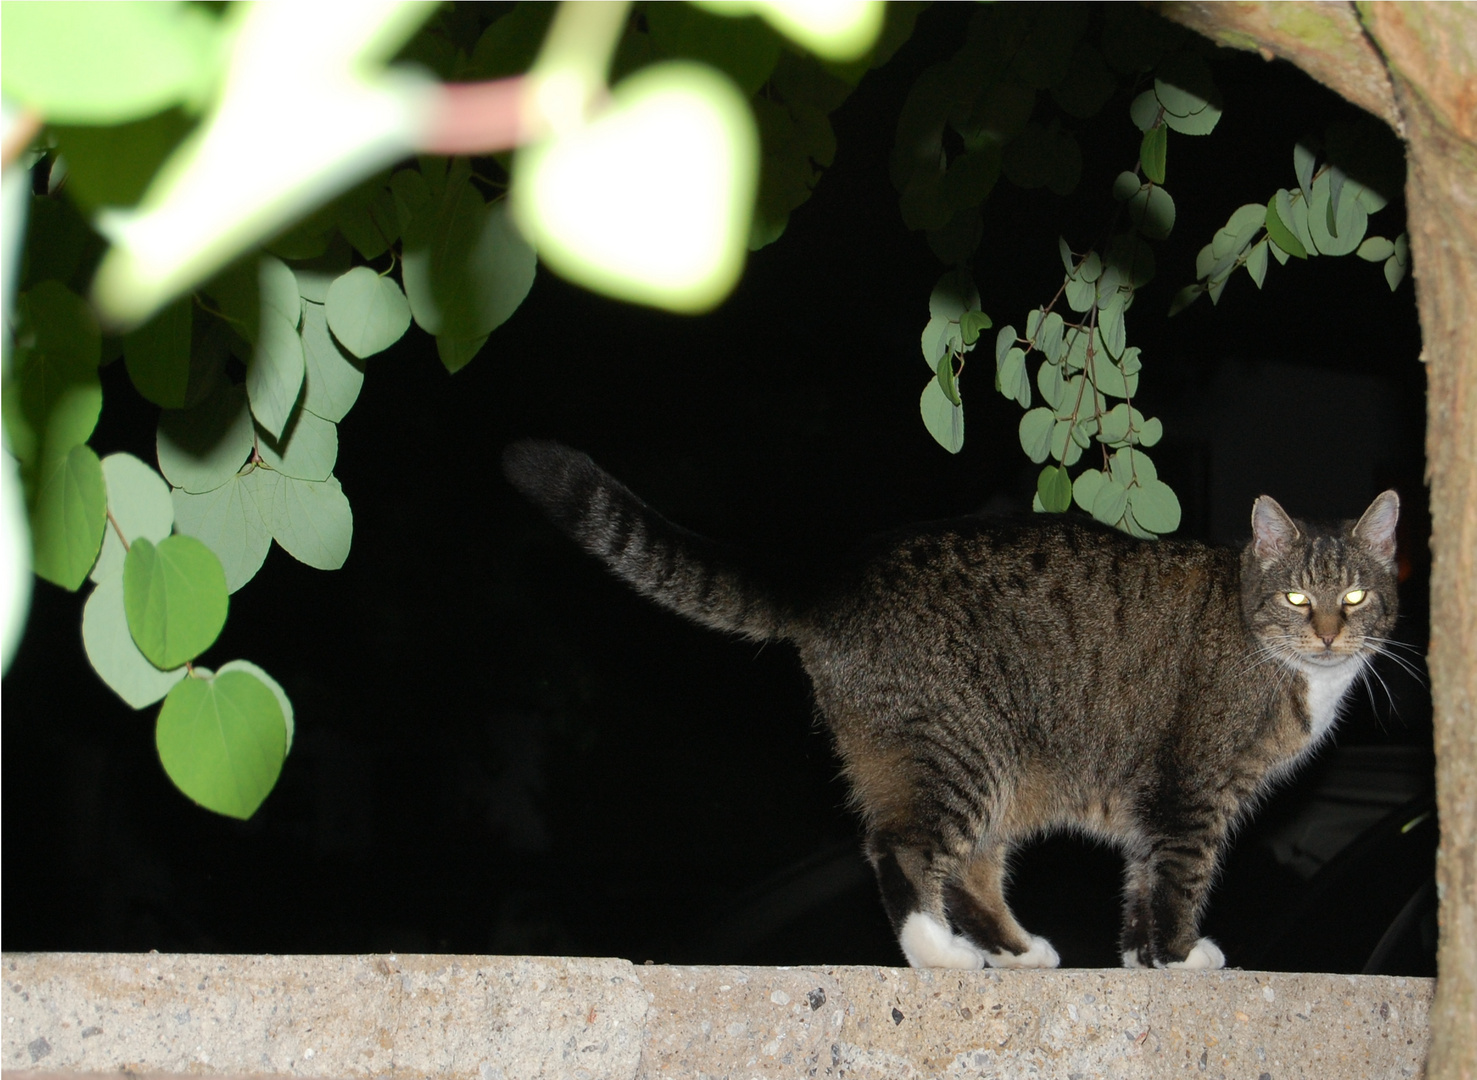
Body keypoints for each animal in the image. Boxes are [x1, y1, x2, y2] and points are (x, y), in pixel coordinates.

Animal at [502, 440, 1400, 969]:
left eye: (1355, 597)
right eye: (1296, 598)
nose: (1327, 634)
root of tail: (833, 580)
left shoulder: (1156, 801)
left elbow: (1142, 884)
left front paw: (1143, 961)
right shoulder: (1191, 791)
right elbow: (1180, 879)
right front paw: (1181, 959)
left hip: (997, 776)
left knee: (968, 870)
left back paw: (1016, 949)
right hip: (958, 754)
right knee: (900, 850)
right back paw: (936, 952)